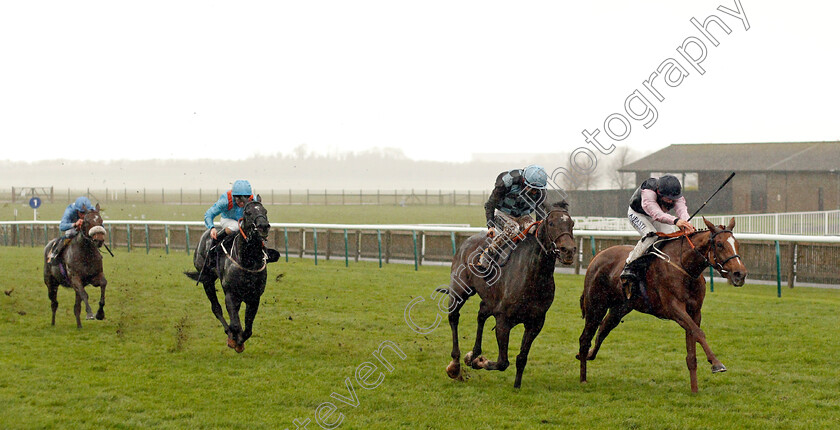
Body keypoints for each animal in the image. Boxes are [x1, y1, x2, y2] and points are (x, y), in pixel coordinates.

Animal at [185, 198, 274, 352]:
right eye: (248, 212)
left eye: (265, 211)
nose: (263, 226)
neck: (247, 262)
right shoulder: (231, 294)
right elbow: (236, 324)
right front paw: (234, 340)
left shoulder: (254, 297)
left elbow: (248, 329)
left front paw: (239, 341)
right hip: (207, 280)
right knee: (216, 308)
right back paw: (229, 332)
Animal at [442, 200, 576, 388]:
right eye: (551, 223)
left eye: (572, 224)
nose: (568, 250)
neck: (533, 275)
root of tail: (466, 242)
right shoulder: (503, 321)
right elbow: (502, 362)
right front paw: (480, 361)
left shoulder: (536, 322)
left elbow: (521, 358)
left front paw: (517, 386)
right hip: (459, 289)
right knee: (454, 317)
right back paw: (455, 365)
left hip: (490, 300)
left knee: (481, 314)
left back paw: (472, 354)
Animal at [576, 218, 748, 394]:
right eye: (719, 244)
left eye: (737, 244)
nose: (740, 274)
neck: (684, 266)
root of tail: (597, 256)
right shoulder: (674, 308)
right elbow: (699, 333)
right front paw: (716, 363)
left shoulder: (694, 312)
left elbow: (692, 346)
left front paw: (694, 389)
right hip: (596, 306)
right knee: (585, 338)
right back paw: (583, 378)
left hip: (620, 308)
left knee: (603, 329)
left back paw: (589, 356)